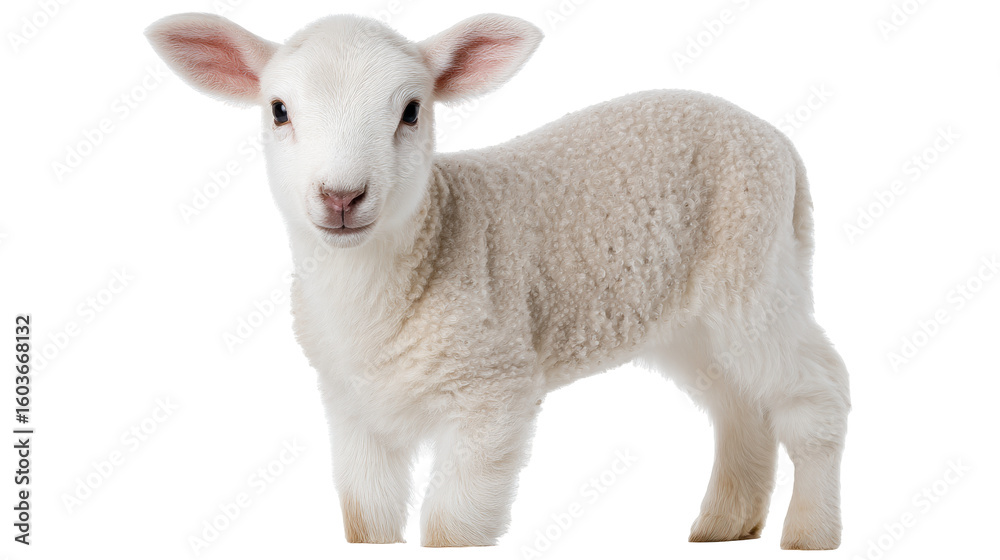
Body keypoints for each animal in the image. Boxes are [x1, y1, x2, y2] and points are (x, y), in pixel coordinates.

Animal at [146, 12, 850, 550]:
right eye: (279, 111)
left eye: (411, 111)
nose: (341, 197)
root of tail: (779, 143)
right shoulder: (351, 405)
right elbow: (364, 517)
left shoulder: (492, 389)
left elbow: (451, 527)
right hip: (693, 318)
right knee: (739, 403)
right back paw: (726, 525)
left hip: (752, 274)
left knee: (817, 393)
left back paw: (809, 534)